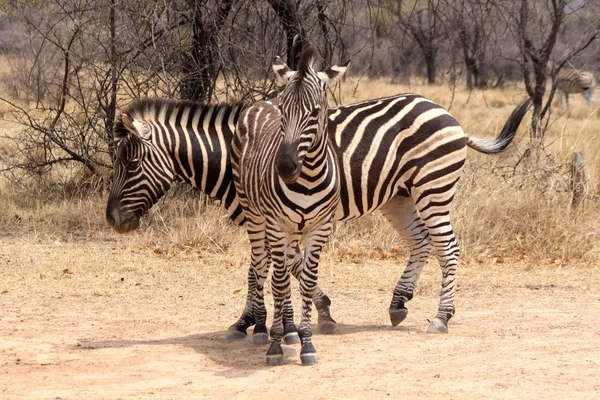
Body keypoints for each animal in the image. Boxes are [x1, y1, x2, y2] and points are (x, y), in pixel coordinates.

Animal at [106, 79, 528, 344]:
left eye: (131, 165)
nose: (112, 220)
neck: (236, 156)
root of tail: (446, 112)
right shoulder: (274, 218)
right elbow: (273, 268)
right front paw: (274, 318)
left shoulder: (269, 218)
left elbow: (266, 269)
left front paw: (265, 321)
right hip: (399, 196)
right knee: (422, 243)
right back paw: (398, 304)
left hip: (433, 187)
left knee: (448, 248)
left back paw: (441, 317)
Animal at [232, 48, 350, 364]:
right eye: (285, 113)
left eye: (315, 112)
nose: (285, 167)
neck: (307, 178)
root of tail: (264, 100)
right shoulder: (276, 225)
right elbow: (280, 283)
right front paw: (275, 345)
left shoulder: (319, 228)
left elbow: (306, 282)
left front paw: (306, 341)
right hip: (254, 215)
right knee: (261, 266)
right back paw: (263, 327)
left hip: (292, 230)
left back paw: (290, 330)